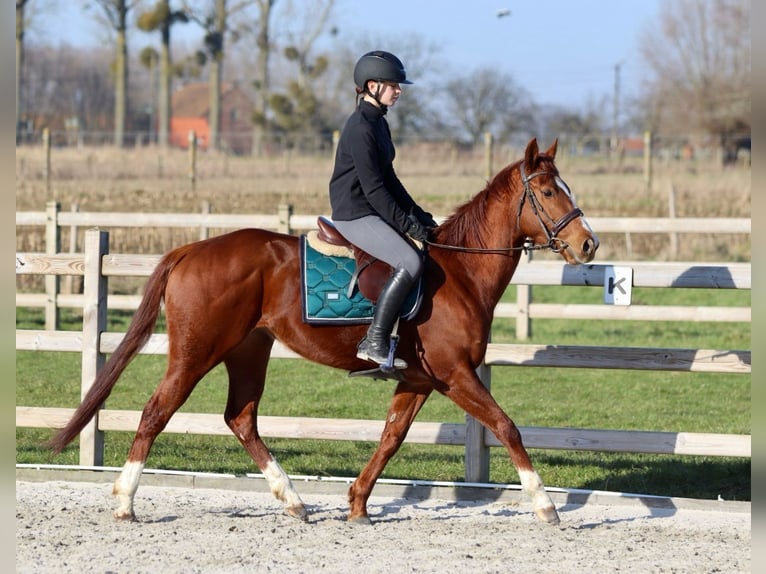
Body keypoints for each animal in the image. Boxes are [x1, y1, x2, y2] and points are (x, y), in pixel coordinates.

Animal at [48, 138, 600, 528]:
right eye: (548, 192)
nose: (588, 245)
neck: (461, 273)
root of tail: (192, 249)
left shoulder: (419, 380)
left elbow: (391, 438)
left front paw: (357, 504)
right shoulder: (454, 374)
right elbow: (506, 426)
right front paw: (545, 505)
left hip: (248, 351)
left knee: (241, 419)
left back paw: (293, 501)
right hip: (196, 352)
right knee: (156, 412)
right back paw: (125, 502)